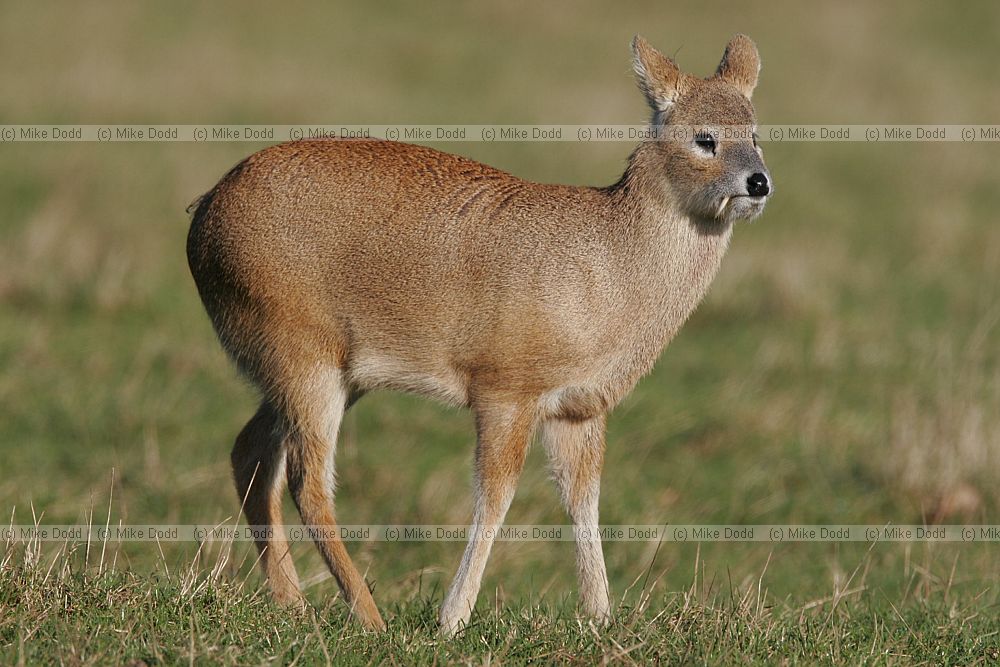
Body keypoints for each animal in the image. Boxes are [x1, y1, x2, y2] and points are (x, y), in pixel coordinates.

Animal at [186, 33, 771, 636]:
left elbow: (583, 500)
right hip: (306, 360)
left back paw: (295, 603)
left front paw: (600, 618)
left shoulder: (580, 408)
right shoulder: (505, 392)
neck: (609, 264)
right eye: (705, 138)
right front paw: (452, 619)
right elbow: (495, 498)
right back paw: (370, 617)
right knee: (309, 483)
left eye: (755, 133)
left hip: (323, 376)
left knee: (251, 453)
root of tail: (204, 211)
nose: (758, 183)